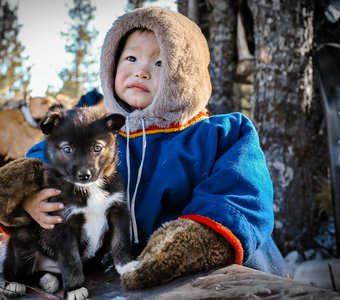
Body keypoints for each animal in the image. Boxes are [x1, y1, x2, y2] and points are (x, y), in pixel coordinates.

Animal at [2, 106, 135, 298]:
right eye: (67, 149)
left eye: (97, 148)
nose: (84, 175)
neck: (88, 188)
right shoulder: (63, 226)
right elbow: (71, 261)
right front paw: (75, 288)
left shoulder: (117, 209)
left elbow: (121, 240)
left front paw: (127, 266)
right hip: (23, 238)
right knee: (15, 267)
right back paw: (14, 284)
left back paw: (48, 279)